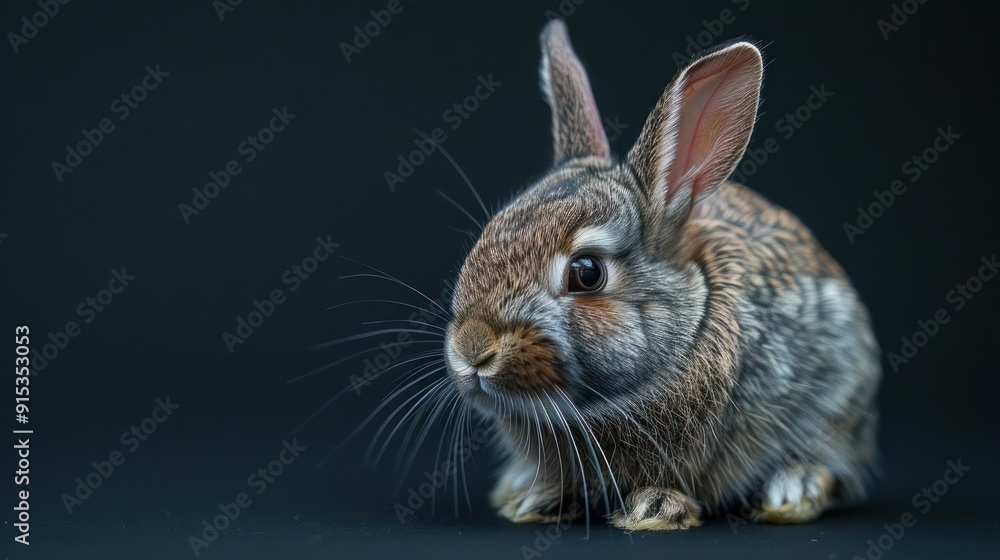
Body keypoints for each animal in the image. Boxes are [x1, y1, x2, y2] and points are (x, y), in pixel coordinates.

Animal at [441, 19, 881, 531]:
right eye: (487, 235)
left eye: (586, 273)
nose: (472, 350)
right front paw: (535, 499)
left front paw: (653, 509)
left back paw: (793, 490)